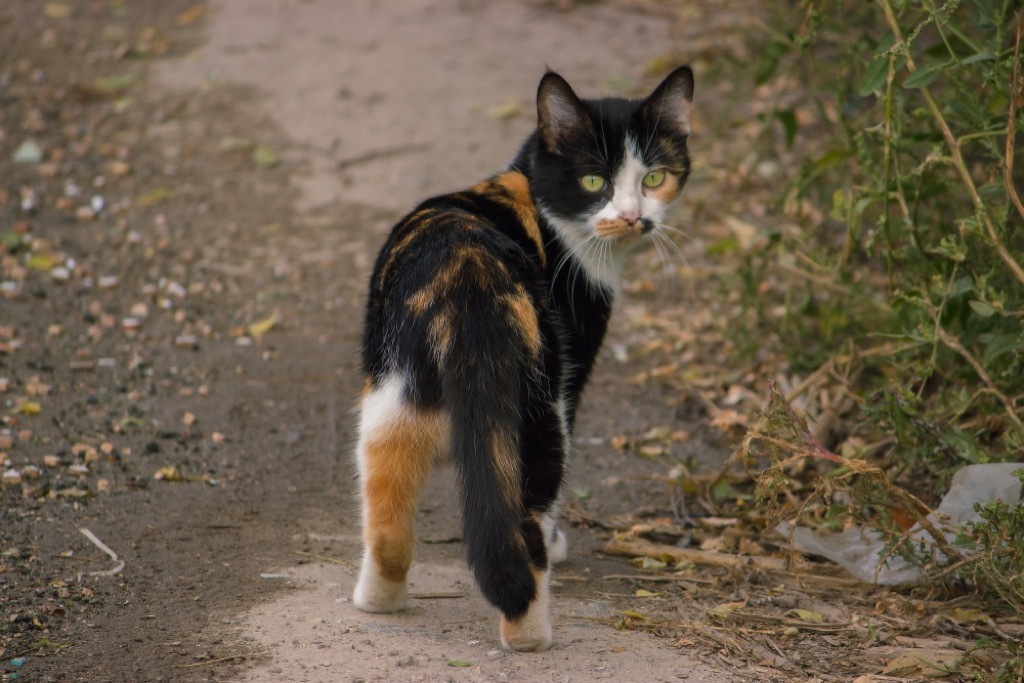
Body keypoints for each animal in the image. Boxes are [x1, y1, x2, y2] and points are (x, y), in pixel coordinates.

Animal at [354, 66, 696, 655]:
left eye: (654, 178)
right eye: (593, 182)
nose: (633, 217)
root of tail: (469, 278)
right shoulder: (573, 372)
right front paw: (560, 542)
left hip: (390, 392)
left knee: (386, 497)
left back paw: (378, 600)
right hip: (538, 406)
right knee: (525, 518)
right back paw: (529, 632)